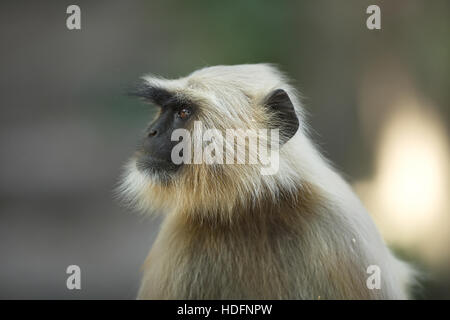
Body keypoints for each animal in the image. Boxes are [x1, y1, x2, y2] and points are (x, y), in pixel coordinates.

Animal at [119, 63, 414, 298]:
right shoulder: (179, 236)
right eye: (163, 111)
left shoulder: (347, 234)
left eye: (183, 112)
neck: (253, 207)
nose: (151, 131)